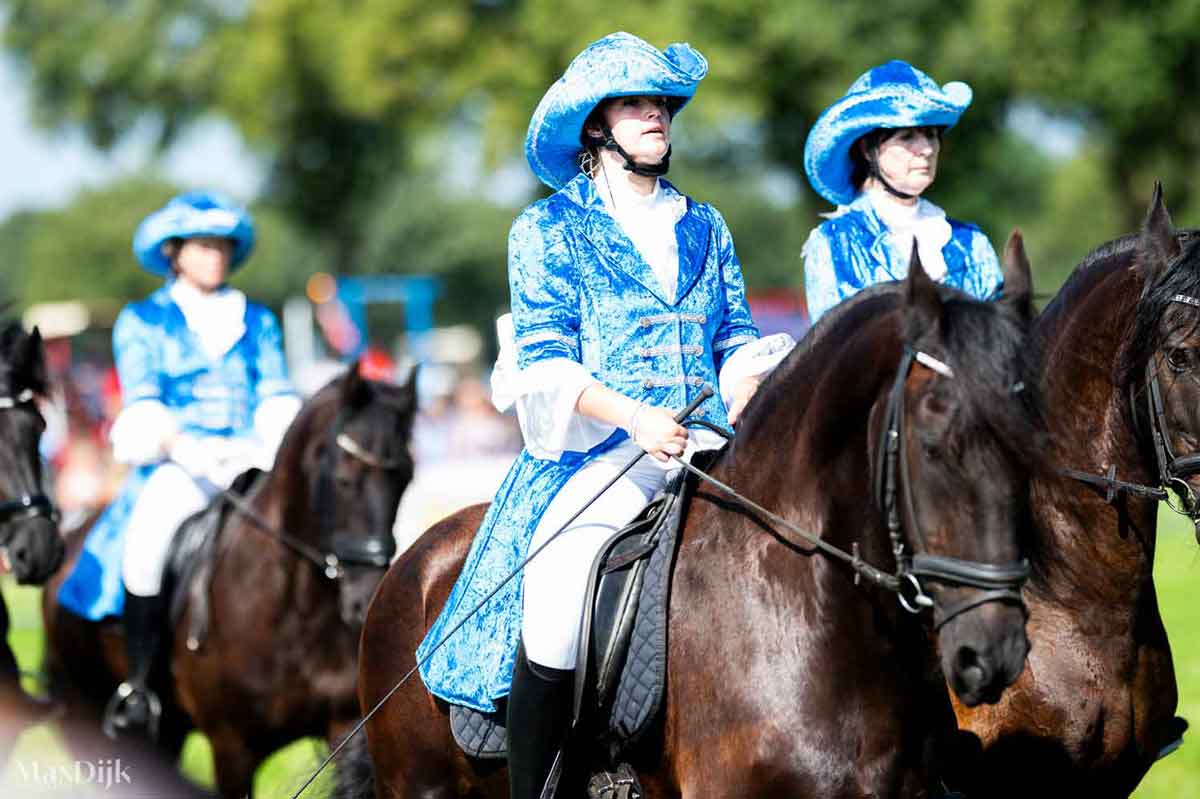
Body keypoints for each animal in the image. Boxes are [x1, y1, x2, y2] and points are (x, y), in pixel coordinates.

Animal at [41, 364, 417, 791]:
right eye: (344, 478)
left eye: (406, 478)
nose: (366, 599)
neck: (296, 613)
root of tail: (71, 538)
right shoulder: (233, 746)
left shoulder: (343, 727)